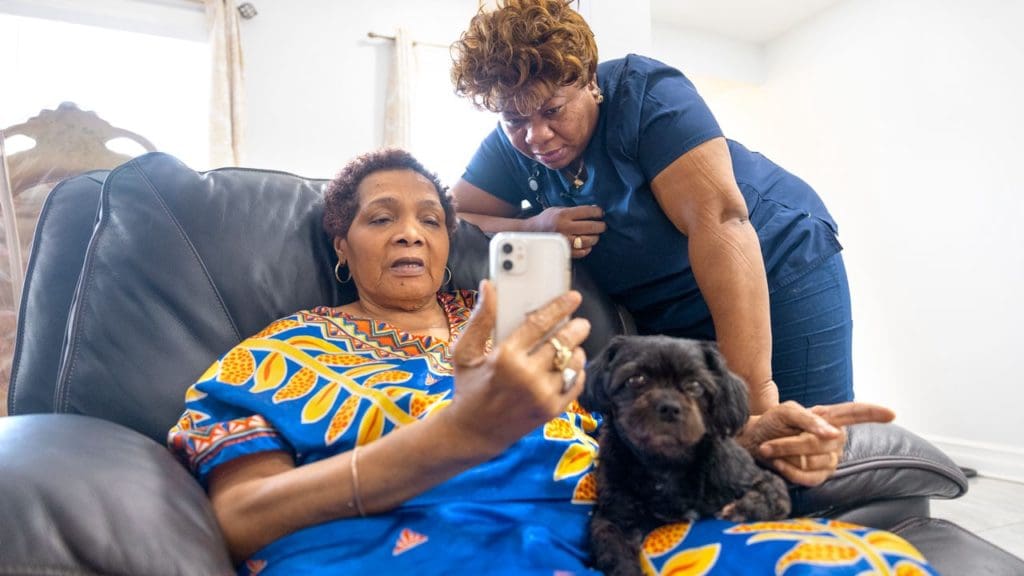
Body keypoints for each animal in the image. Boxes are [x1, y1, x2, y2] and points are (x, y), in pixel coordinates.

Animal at [581, 334, 786, 569]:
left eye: (695, 385)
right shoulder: (615, 514)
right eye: (636, 379)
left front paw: (744, 508)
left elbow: (772, 493)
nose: (669, 407)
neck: (665, 465)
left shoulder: (747, 475)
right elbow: (612, 546)